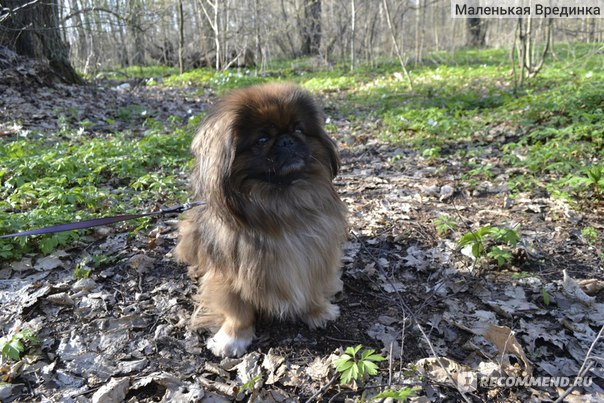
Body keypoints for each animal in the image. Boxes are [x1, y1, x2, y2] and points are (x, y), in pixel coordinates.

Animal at [175, 83, 346, 358]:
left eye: (299, 129)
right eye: (262, 140)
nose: (287, 140)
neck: (281, 203)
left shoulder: (314, 254)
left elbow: (311, 287)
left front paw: (318, 311)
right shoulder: (229, 274)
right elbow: (237, 309)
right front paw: (233, 337)